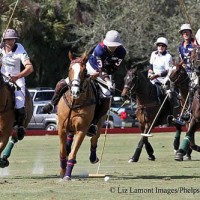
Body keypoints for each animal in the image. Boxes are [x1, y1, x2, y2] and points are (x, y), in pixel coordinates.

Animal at [56, 51, 102, 180]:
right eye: (69, 69)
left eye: (84, 71)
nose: (75, 92)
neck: (75, 102)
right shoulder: (61, 128)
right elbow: (63, 151)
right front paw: (62, 172)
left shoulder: (82, 129)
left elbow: (73, 154)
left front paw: (67, 175)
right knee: (69, 139)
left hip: (100, 122)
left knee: (95, 137)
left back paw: (93, 157)